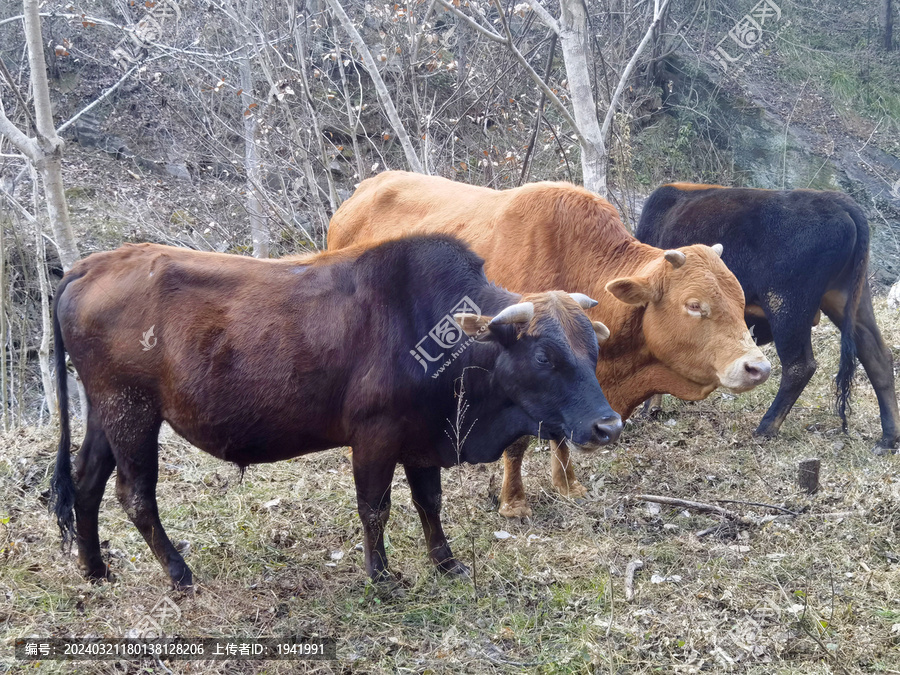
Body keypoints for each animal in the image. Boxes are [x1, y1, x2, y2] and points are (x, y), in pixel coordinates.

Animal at [52, 234, 624, 588]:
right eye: (545, 356)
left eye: (593, 350)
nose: (609, 425)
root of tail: (90, 265)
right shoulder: (375, 435)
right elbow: (375, 508)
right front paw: (381, 576)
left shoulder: (422, 440)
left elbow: (429, 503)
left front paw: (446, 563)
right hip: (132, 412)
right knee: (134, 495)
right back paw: (179, 574)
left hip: (106, 411)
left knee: (85, 481)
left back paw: (94, 568)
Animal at [636, 184, 896, 454]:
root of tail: (835, 200)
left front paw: (649, 409)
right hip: (846, 299)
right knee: (877, 357)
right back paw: (888, 439)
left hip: (787, 306)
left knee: (800, 366)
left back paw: (766, 428)